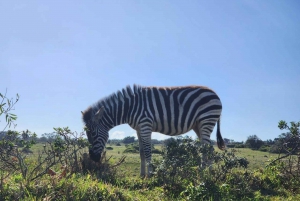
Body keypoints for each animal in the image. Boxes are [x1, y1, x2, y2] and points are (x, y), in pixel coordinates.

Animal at [82, 84, 225, 177]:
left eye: (93, 134)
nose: (93, 158)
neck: (129, 108)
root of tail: (215, 94)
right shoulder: (138, 129)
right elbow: (141, 152)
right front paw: (142, 175)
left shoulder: (145, 125)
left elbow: (147, 150)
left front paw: (150, 174)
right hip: (198, 125)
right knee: (210, 148)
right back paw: (210, 172)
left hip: (206, 120)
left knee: (205, 148)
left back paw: (202, 172)